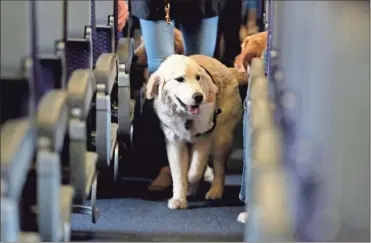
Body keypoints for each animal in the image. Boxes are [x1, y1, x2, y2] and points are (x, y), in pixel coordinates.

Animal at [145, 54, 247, 209]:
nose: (199, 97)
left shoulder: (204, 138)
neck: (185, 116)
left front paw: (191, 179)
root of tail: (227, 69)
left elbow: (195, 170)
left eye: (198, 78)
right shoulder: (175, 143)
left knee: (219, 167)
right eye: (180, 79)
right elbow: (179, 173)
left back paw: (215, 191)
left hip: (220, 138)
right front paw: (179, 199)